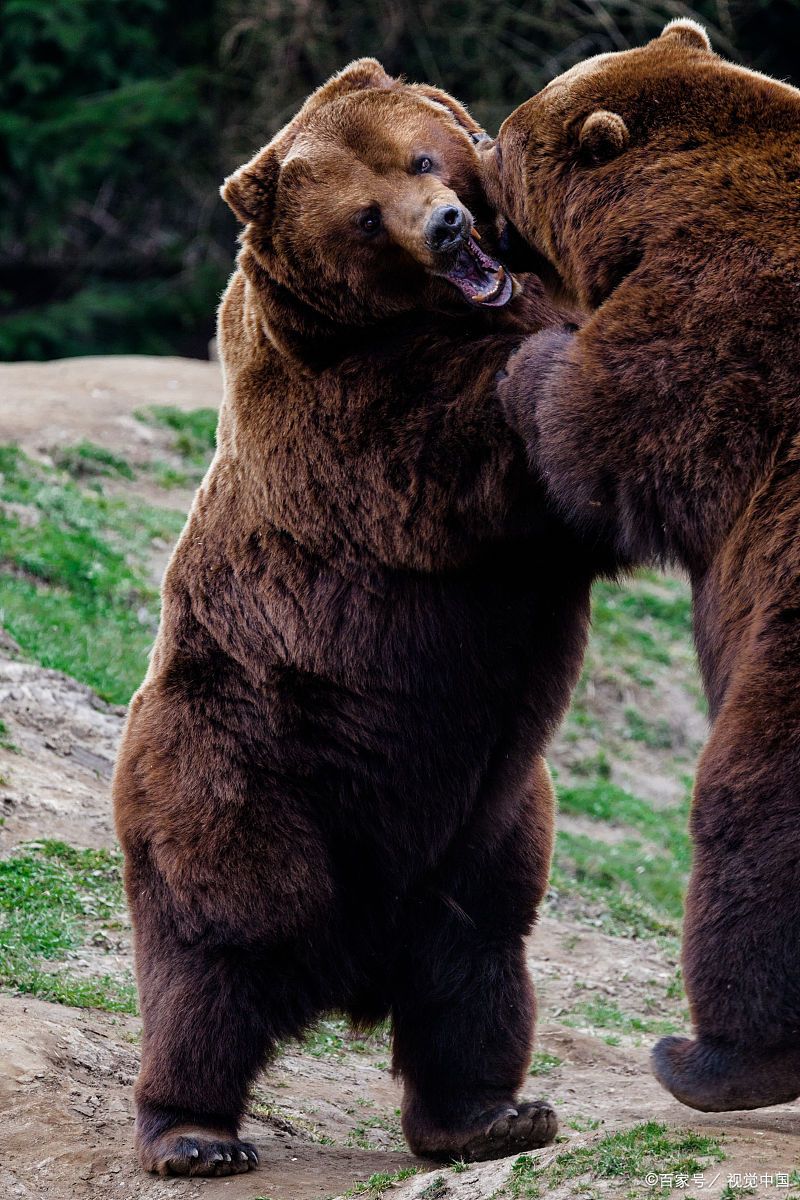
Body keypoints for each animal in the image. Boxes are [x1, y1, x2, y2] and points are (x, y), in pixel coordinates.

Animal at [113, 60, 599, 1176]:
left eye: (423, 155)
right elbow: (470, 455)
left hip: (490, 819)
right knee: (217, 948)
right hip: (231, 762)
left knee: (477, 961)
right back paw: (191, 1133)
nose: (451, 228)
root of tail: (351, 969)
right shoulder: (345, 421)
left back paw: (491, 1115)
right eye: (366, 218)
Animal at [484, 18, 800, 1113]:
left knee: (749, 818)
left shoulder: (722, 303)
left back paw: (711, 1059)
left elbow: (606, 431)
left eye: (503, 137)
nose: (473, 151)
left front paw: (531, 356)